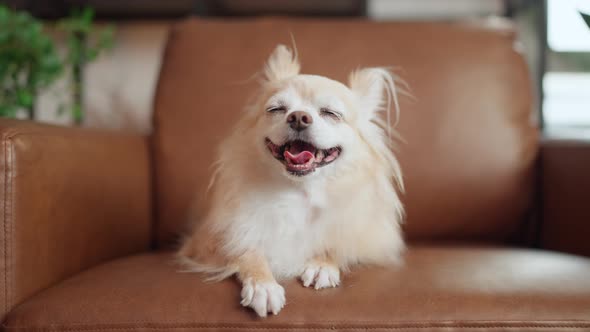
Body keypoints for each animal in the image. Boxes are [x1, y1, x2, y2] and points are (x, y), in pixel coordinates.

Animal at [178, 44, 408, 316]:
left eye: (331, 113)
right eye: (276, 109)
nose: (299, 117)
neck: (300, 192)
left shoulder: (368, 239)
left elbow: (339, 243)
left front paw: (322, 263)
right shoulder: (210, 242)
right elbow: (246, 250)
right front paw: (263, 284)